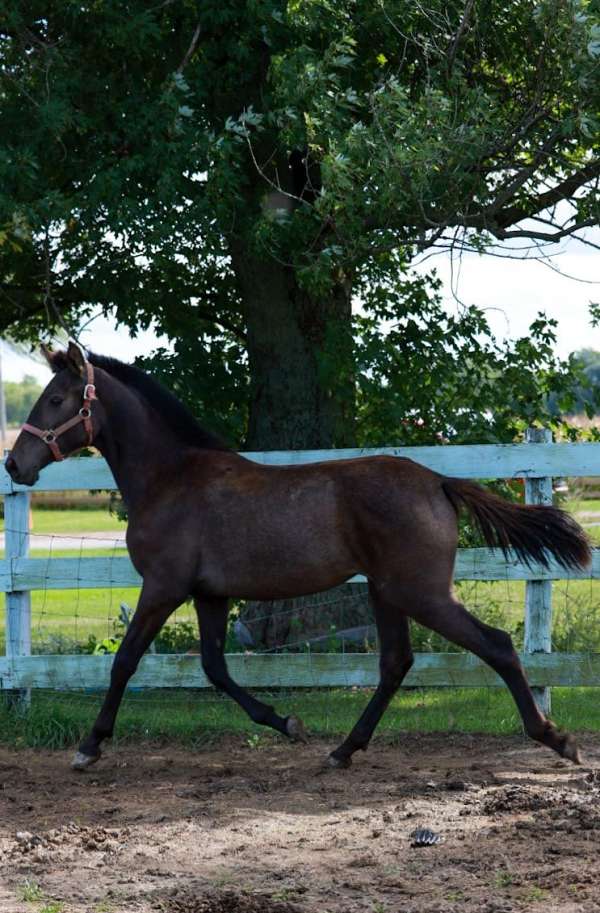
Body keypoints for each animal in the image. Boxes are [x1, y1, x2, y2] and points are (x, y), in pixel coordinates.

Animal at [5, 342, 591, 771]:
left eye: (55, 399)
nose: (15, 465)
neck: (169, 479)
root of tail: (438, 481)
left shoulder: (162, 588)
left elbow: (125, 661)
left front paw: (89, 746)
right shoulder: (209, 596)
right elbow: (216, 669)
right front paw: (287, 723)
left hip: (418, 591)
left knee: (495, 645)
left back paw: (556, 739)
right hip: (387, 591)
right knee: (396, 662)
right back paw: (343, 750)